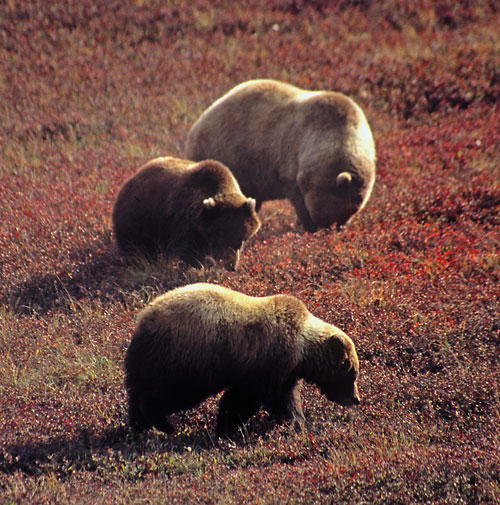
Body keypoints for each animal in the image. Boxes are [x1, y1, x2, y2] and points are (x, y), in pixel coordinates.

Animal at [111, 157, 260, 270]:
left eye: (242, 241)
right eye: (220, 239)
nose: (231, 267)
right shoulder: (183, 219)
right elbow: (187, 248)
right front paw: (204, 263)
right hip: (139, 217)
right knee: (135, 245)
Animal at [124, 282, 360, 436]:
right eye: (351, 373)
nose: (356, 399)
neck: (302, 351)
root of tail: (142, 322)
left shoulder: (285, 371)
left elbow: (285, 398)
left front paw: (296, 422)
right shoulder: (268, 360)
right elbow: (244, 398)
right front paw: (226, 429)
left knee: (137, 392)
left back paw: (139, 426)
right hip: (187, 359)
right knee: (174, 393)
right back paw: (162, 423)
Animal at [187, 79, 376, 232]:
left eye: (352, 210)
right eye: (323, 210)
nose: (328, 228)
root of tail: (197, 124)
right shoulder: (291, 158)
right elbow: (297, 196)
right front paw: (307, 225)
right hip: (224, 153)